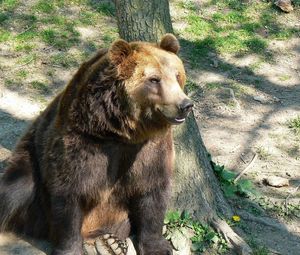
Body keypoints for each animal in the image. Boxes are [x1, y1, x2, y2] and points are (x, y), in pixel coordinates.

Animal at [0, 34, 192, 255]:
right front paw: (70, 249)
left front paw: (158, 247)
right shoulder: (84, 141)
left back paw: (109, 242)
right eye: (154, 79)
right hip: (30, 159)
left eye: (177, 75)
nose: (185, 105)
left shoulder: (150, 150)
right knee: (15, 188)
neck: (123, 132)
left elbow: (152, 191)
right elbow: (70, 191)